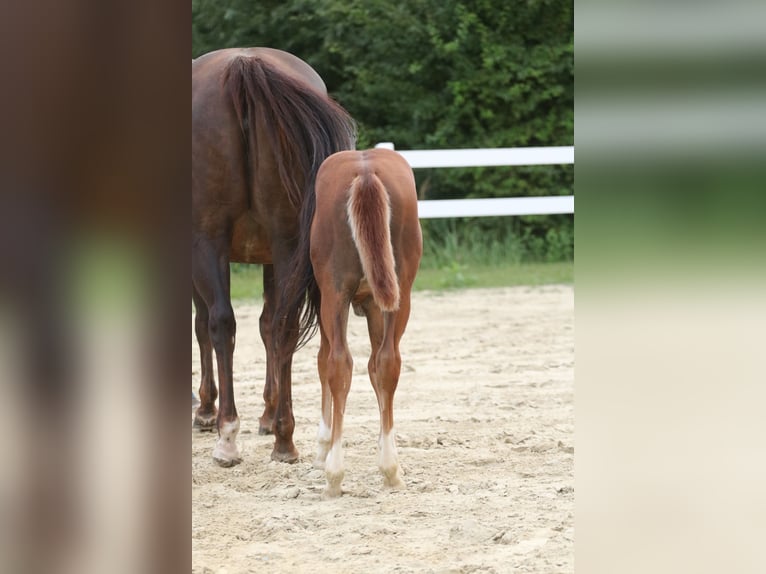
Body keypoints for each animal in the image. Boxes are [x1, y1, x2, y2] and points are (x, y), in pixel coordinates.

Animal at [194, 47, 358, 466]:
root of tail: (244, 65)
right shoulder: (275, 254)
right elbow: (269, 325)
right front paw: (269, 415)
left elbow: (203, 325)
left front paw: (205, 409)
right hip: (287, 242)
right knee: (283, 327)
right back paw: (284, 438)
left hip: (210, 240)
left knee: (221, 323)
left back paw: (227, 436)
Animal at [308, 148, 424, 500]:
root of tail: (366, 171)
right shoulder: (374, 304)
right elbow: (376, 368)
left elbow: (326, 362)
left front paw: (322, 448)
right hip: (398, 294)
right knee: (386, 362)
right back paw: (388, 468)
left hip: (335, 294)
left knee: (338, 362)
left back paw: (336, 474)